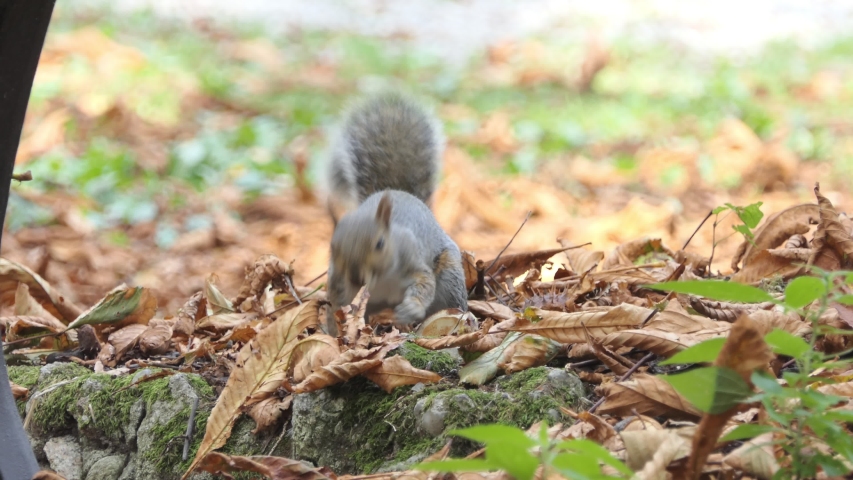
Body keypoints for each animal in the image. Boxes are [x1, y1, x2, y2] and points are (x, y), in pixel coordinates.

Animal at [324, 92, 468, 335]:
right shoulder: (339, 281)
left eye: (380, 244)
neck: (382, 279)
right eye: (332, 247)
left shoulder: (415, 264)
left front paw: (411, 307)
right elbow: (336, 303)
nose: (355, 276)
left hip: (449, 276)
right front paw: (333, 329)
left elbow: (424, 284)